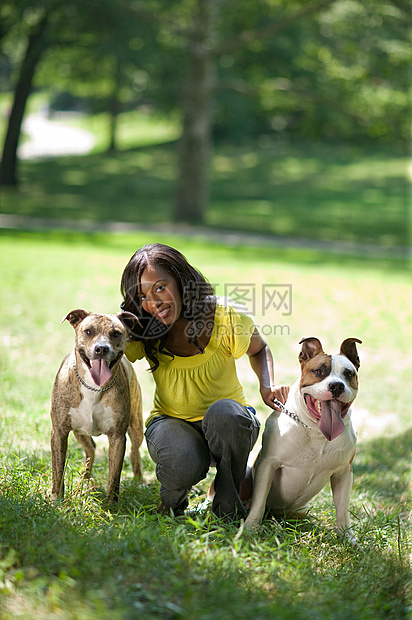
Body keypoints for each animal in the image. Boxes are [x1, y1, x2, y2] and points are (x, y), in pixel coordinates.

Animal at [50, 310, 144, 504]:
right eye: (88, 331)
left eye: (115, 333)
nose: (101, 349)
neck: (93, 387)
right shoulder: (59, 432)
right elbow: (58, 470)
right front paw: (57, 500)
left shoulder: (117, 437)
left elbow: (114, 476)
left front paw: (111, 505)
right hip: (79, 432)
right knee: (90, 449)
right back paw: (85, 480)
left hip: (136, 426)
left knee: (135, 451)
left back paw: (138, 480)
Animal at [245, 336, 360, 544]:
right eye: (319, 371)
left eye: (348, 374)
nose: (337, 385)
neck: (316, 432)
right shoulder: (268, 464)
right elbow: (259, 500)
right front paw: (251, 528)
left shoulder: (343, 472)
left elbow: (342, 509)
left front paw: (347, 537)